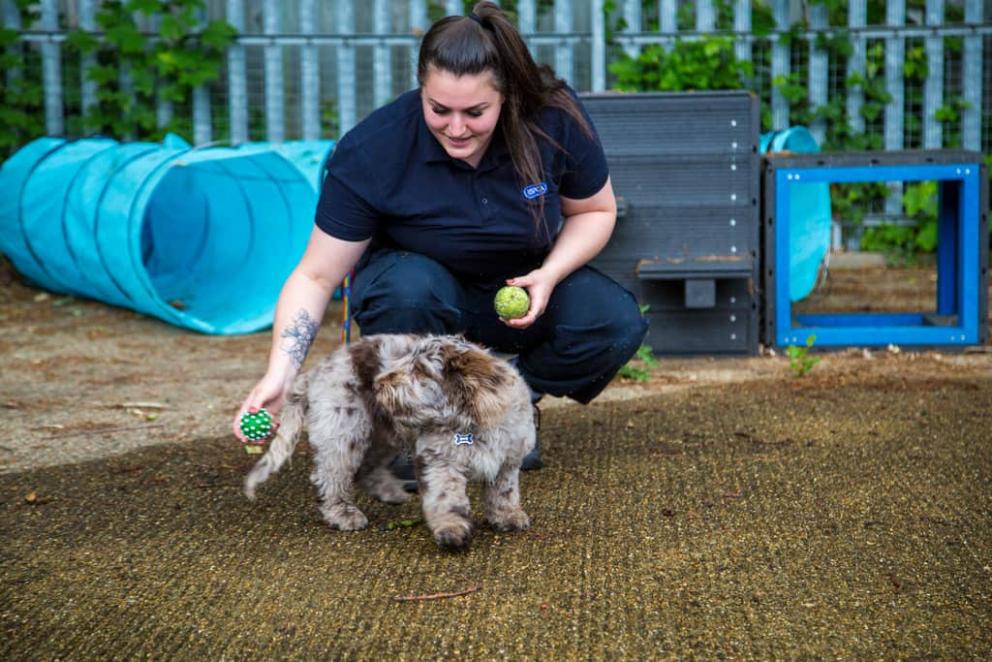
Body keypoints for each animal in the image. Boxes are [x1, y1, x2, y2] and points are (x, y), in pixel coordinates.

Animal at [242, 334, 536, 552]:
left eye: (420, 370)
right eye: (408, 361)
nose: (378, 384)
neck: (470, 422)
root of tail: (316, 370)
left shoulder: (508, 460)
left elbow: (504, 492)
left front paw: (507, 516)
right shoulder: (439, 461)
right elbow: (446, 497)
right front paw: (451, 529)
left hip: (382, 433)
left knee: (365, 468)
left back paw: (389, 492)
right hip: (344, 429)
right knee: (331, 476)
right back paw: (342, 513)